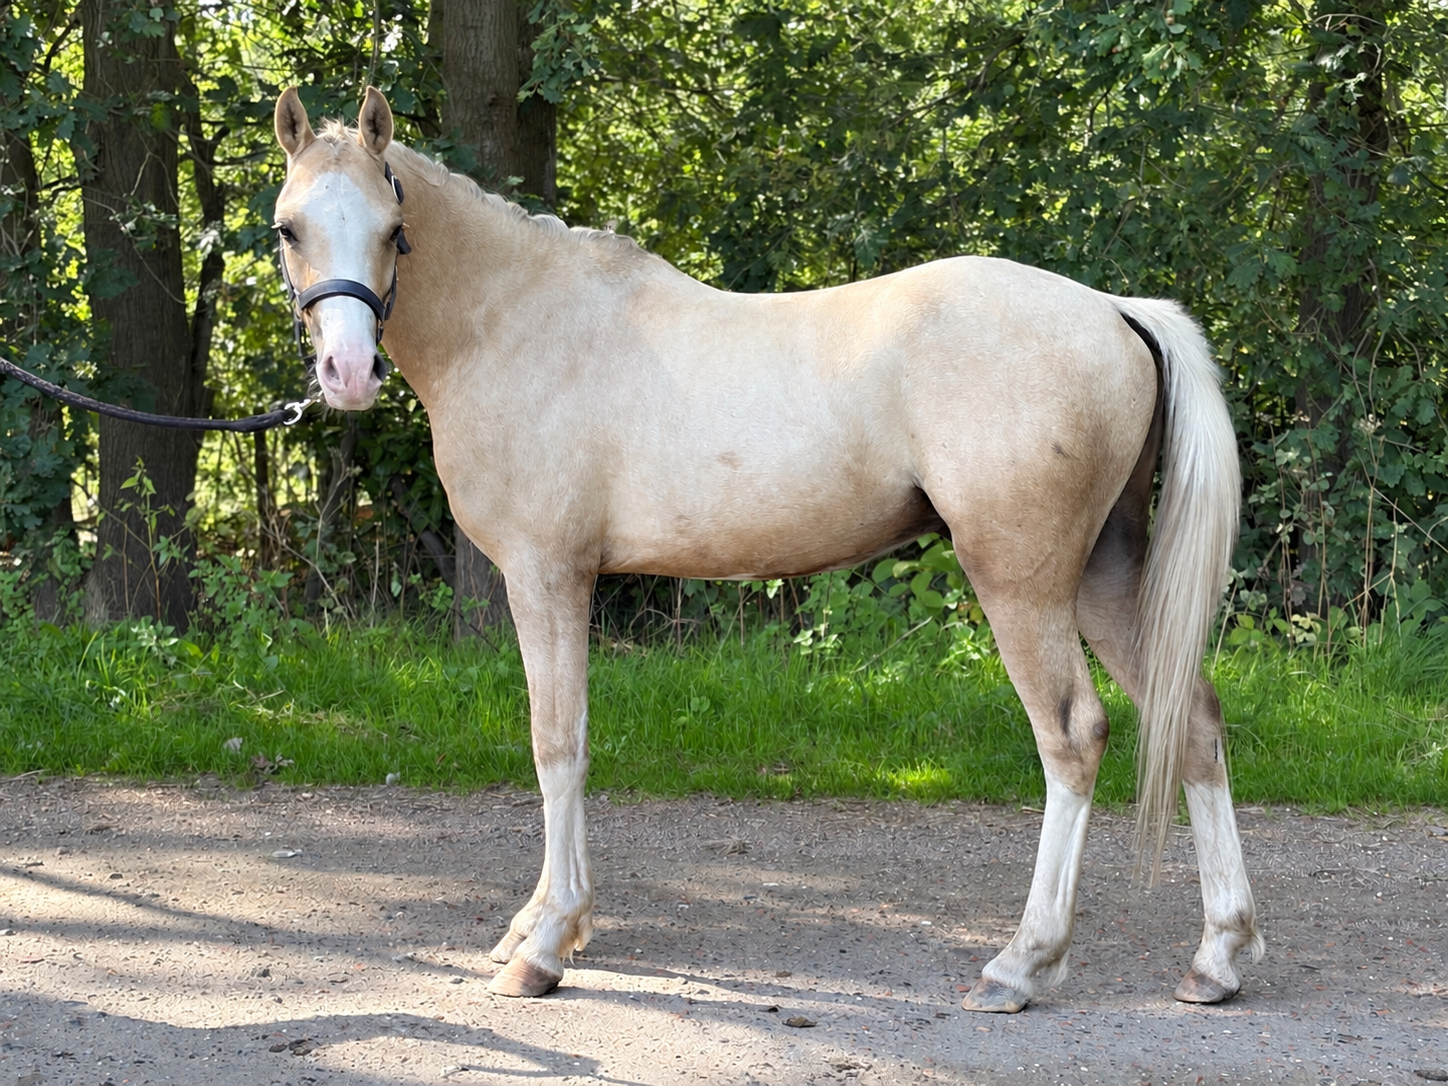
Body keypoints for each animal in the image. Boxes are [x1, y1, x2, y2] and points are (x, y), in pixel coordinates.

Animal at [272, 86, 1262, 1011]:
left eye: (394, 229)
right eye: (289, 228)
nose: (347, 374)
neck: (518, 321)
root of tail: (1115, 309)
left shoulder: (546, 574)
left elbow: (556, 743)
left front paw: (545, 945)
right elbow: (570, 740)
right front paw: (544, 922)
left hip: (1021, 583)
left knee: (1073, 736)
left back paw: (1021, 963)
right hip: (1103, 574)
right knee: (1193, 717)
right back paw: (1219, 955)